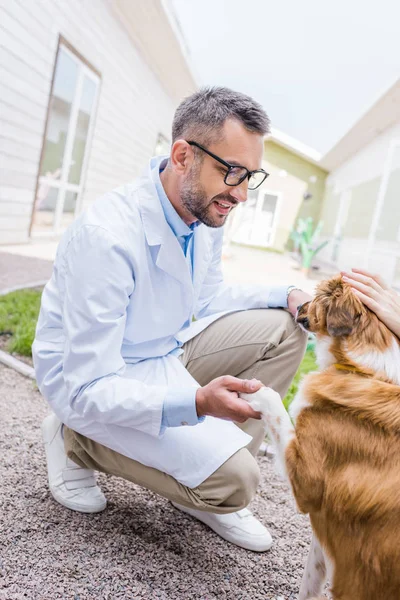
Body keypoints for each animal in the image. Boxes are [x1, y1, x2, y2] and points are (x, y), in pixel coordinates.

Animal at [241, 276, 400, 600]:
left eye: (315, 297)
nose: (299, 302)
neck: (364, 371)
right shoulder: (326, 535)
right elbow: (310, 582)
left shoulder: (308, 483)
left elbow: (275, 404)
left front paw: (255, 392)